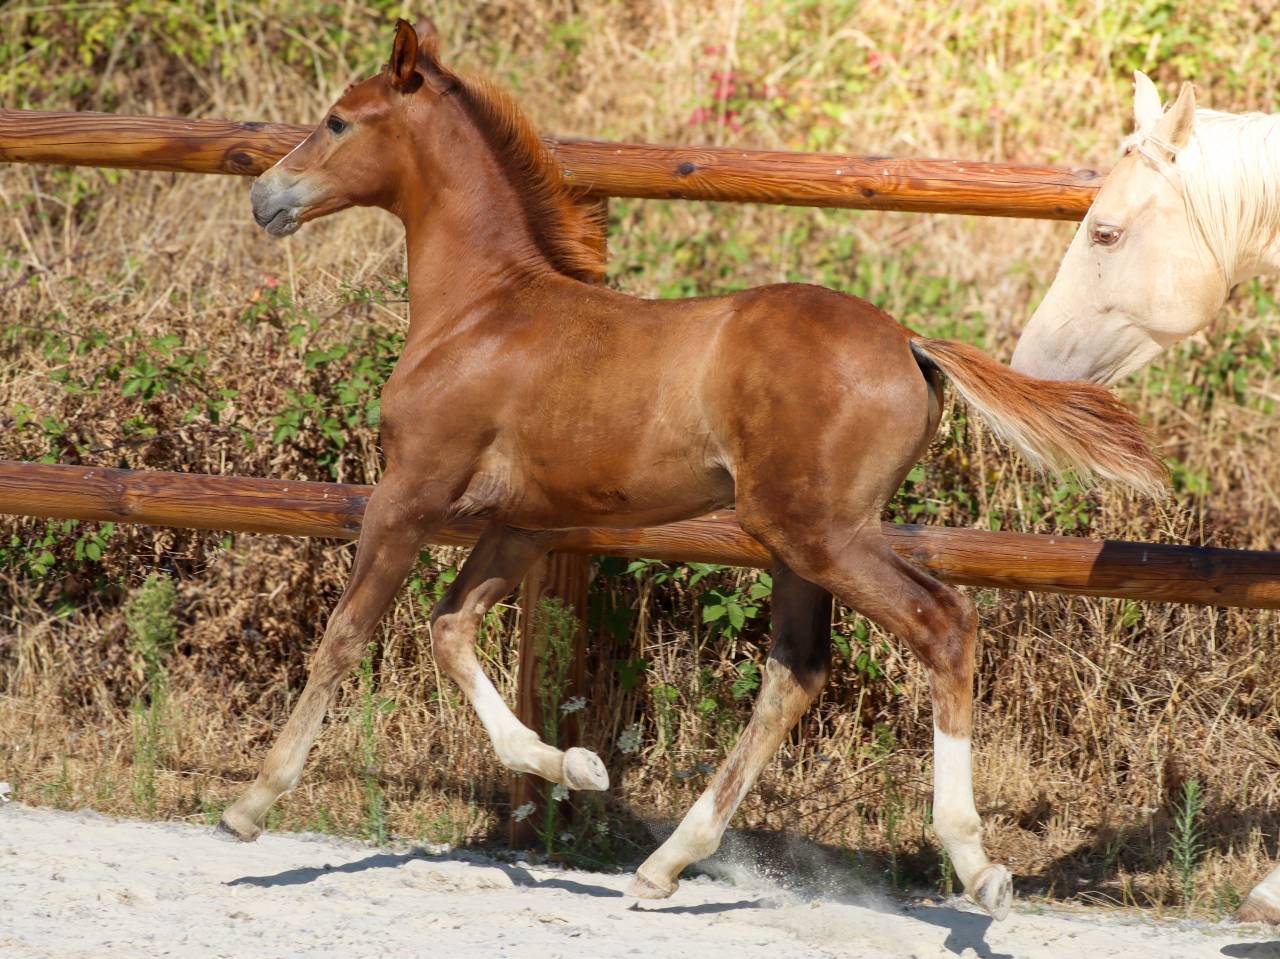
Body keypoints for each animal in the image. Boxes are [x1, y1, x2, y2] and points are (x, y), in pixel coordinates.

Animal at [222, 19, 1164, 921]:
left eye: (338, 120)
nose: (265, 196)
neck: (483, 311)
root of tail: (908, 342)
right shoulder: (524, 522)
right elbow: (450, 631)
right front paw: (575, 765)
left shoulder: (409, 493)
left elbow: (346, 634)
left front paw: (253, 803)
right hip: (794, 542)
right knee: (795, 673)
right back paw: (665, 862)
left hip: (818, 532)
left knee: (943, 622)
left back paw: (975, 864)